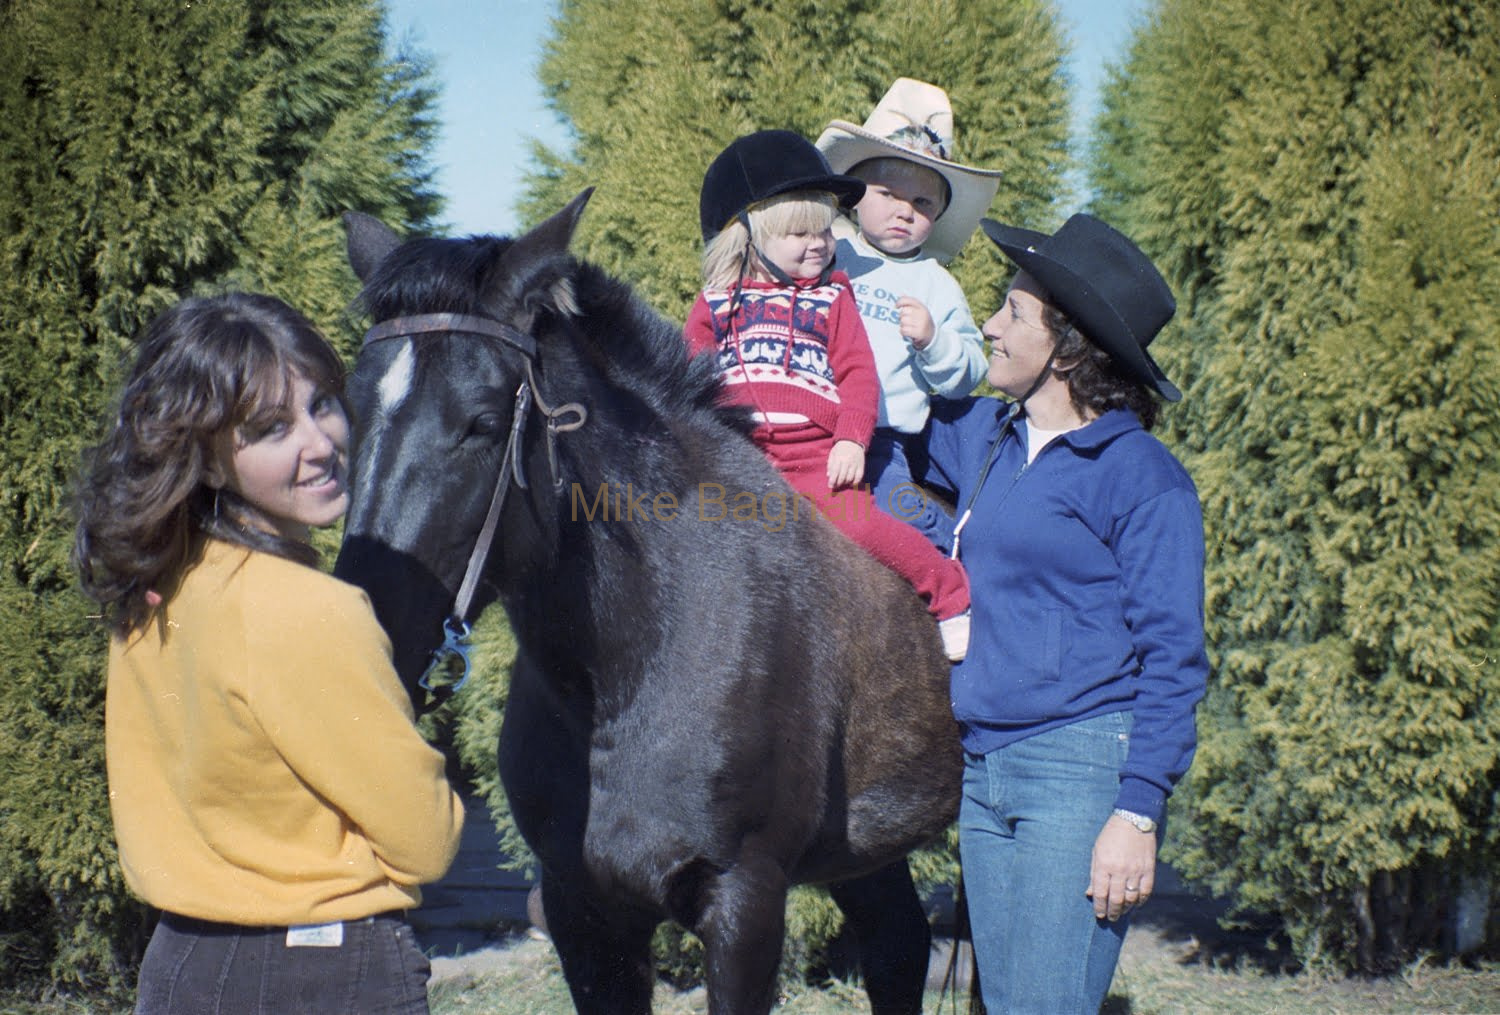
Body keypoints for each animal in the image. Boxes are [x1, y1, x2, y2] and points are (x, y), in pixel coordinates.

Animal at [334, 191, 954, 1013]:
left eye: (485, 422)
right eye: (348, 408)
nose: (366, 637)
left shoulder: (745, 903)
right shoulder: (582, 916)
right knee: (898, 948)